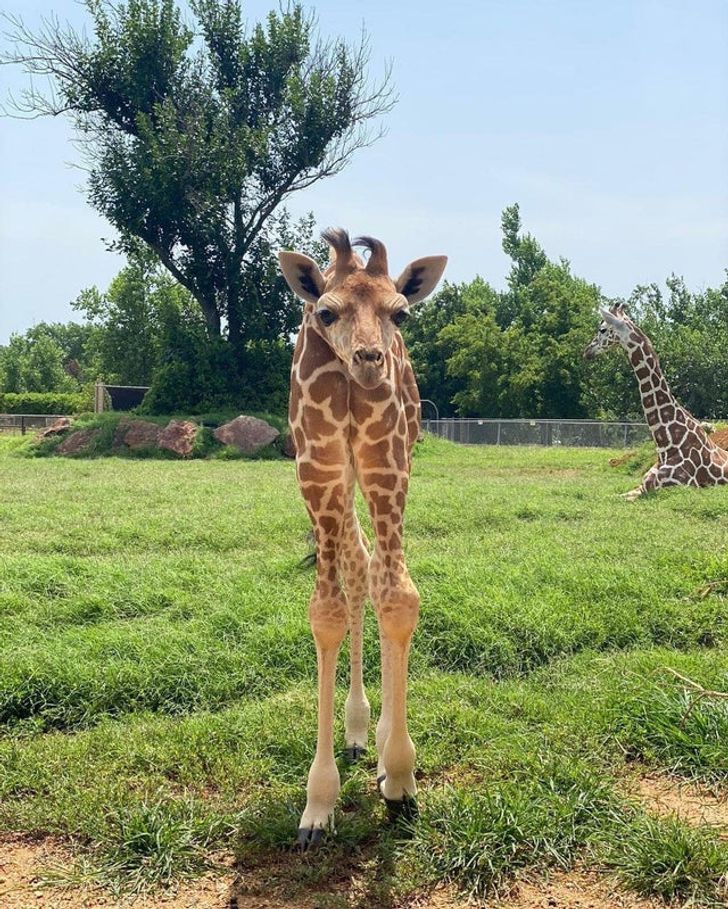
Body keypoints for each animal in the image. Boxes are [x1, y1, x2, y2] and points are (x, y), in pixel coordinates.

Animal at [280, 229, 446, 852]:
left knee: (372, 572)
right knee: (355, 566)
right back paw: (354, 732)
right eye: (326, 312)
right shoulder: (319, 469)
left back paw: (371, 739)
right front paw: (317, 807)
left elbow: (398, 595)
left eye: (401, 314)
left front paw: (398, 775)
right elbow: (326, 610)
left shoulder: (388, 463)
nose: (370, 363)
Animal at [584, 308, 728, 500]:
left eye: (602, 329)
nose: (587, 351)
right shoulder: (642, 487)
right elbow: (607, 497)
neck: (667, 444)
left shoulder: (673, 487)